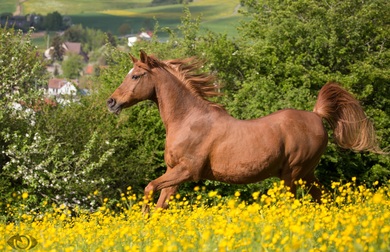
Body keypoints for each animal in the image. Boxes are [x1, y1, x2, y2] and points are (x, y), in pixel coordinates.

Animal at [106, 50, 380, 210]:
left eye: (135, 76)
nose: (111, 102)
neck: (188, 120)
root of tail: (316, 115)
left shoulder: (187, 171)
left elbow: (148, 188)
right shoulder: (173, 172)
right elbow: (160, 204)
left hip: (293, 173)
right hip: (305, 174)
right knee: (324, 198)